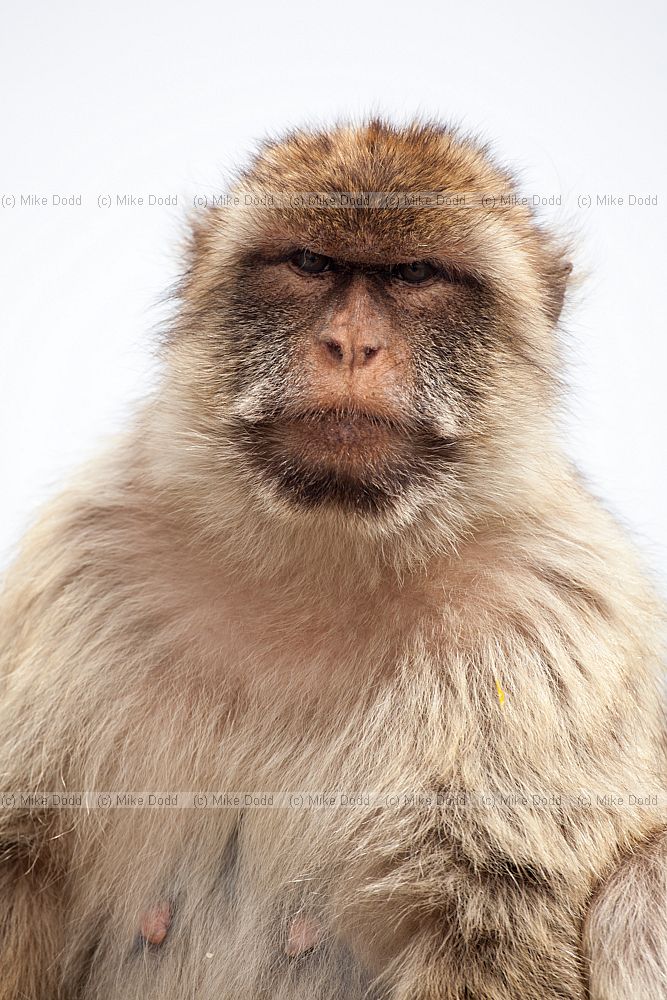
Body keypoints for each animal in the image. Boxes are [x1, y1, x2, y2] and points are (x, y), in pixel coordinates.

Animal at [0, 118, 666, 1000]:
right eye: (310, 264)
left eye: (416, 275)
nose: (351, 343)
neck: (322, 557)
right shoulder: (83, 558)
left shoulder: (553, 614)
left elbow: (496, 923)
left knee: (642, 889)